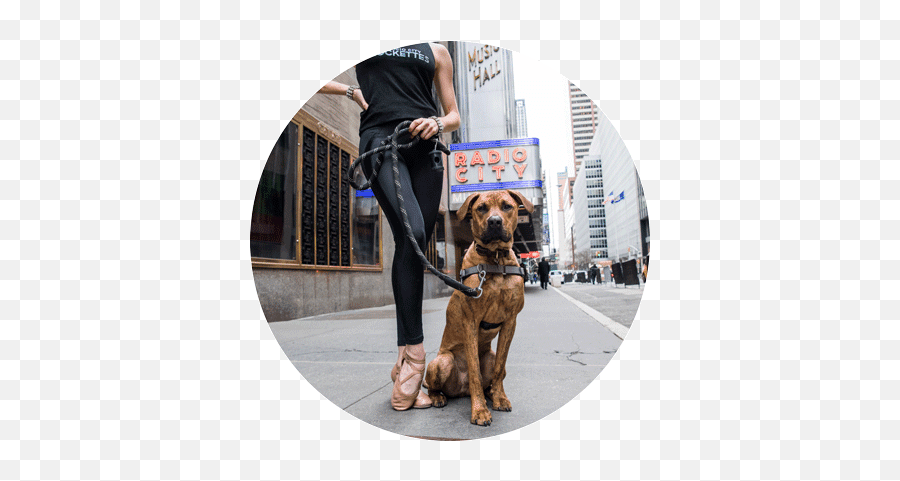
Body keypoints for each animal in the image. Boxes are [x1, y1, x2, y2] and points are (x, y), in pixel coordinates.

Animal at [424, 188, 536, 424]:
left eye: (507, 206)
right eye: (481, 208)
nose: (494, 221)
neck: (496, 260)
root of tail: (462, 390)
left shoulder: (510, 321)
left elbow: (500, 367)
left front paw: (499, 398)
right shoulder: (470, 322)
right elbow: (474, 370)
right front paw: (480, 410)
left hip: (489, 356)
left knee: (493, 376)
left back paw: (492, 393)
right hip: (441, 362)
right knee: (433, 386)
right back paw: (438, 397)